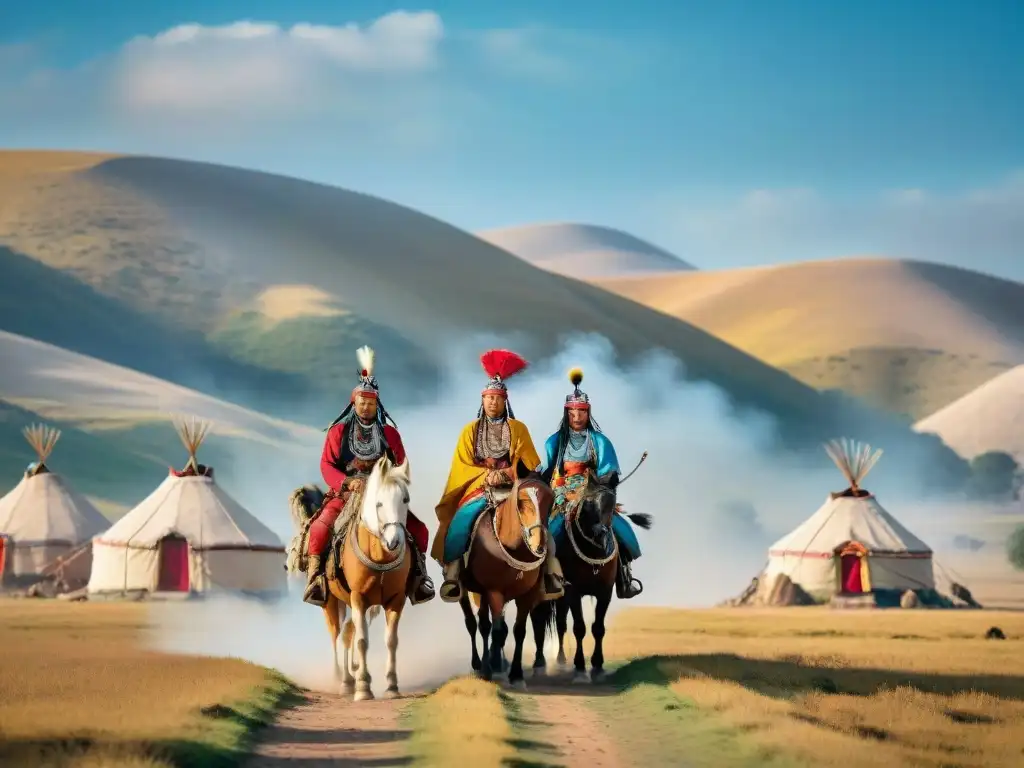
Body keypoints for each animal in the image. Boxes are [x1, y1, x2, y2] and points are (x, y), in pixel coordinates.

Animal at [284, 456, 411, 704]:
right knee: (337, 635)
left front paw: (391, 686)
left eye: (405, 499)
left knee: (347, 633)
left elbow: (391, 641)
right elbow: (362, 640)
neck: (378, 555)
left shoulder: (396, 599)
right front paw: (363, 688)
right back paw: (342, 680)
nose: (394, 542)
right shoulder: (358, 598)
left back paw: (350, 676)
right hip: (331, 602)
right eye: (378, 503)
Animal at [458, 466, 557, 688]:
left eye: (551, 500)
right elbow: (495, 629)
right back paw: (480, 664)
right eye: (520, 500)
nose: (539, 545)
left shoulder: (527, 595)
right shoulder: (494, 591)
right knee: (474, 623)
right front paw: (493, 666)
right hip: (466, 589)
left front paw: (516, 674)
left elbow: (518, 631)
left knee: (486, 623)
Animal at [532, 473, 651, 684]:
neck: (591, 551)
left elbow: (598, 628)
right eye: (587, 504)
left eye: (611, 503)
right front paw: (580, 668)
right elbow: (579, 628)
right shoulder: (573, 592)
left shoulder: (605, 592)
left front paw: (597, 666)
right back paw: (540, 663)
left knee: (560, 624)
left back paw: (561, 660)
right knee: (539, 621)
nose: (600, 533)